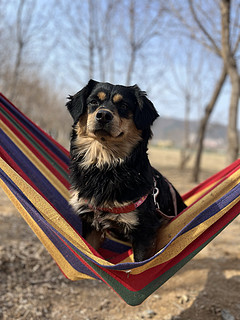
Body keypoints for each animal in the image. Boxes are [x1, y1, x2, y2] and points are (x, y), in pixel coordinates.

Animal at [66, 80, 187, 262]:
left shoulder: (144, 232)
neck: (106, 166)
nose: (103, 115)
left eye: (123, 105)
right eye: (93, 102)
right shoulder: (91, 225)